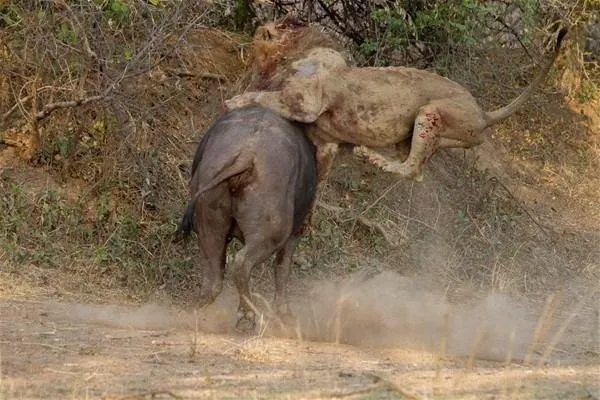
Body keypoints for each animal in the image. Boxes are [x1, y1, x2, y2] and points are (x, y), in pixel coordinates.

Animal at [179, 105, 316, 332]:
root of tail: (246, 154)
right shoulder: (296, 232)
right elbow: (283, 269)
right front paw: (285, 314)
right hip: (271, 233)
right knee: (242, 263)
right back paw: (248, 315)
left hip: (209, 221)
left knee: (215, 274)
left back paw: (196, 310)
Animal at [226, 18, 568, 181]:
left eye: (259, 34)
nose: (250, 38)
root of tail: (483, 113)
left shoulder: (308, 100)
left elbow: (266, 95)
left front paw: (235, 101)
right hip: (421, 133)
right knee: (415, 165)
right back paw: (371, 155)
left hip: (432, 111)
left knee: (413, 171)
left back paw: (371, 157)